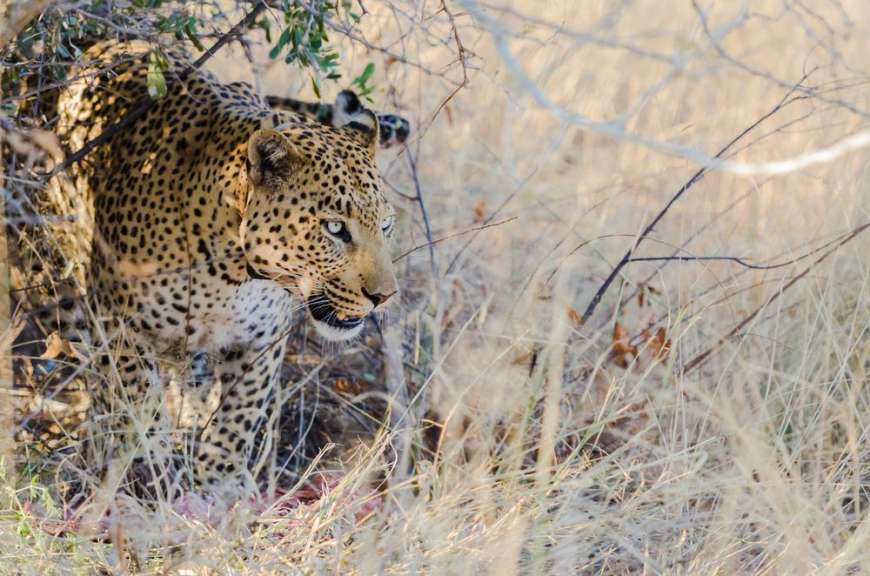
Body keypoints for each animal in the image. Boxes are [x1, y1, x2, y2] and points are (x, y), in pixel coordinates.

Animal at [53, 40, 407, 496]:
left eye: (385, 225)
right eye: (334, 228)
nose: (384, 296)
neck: (235, 274)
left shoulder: (261, 342)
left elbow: (238, 416)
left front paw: (217, 485)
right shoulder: (122, 324)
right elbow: (142, 406)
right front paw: (155, 477)